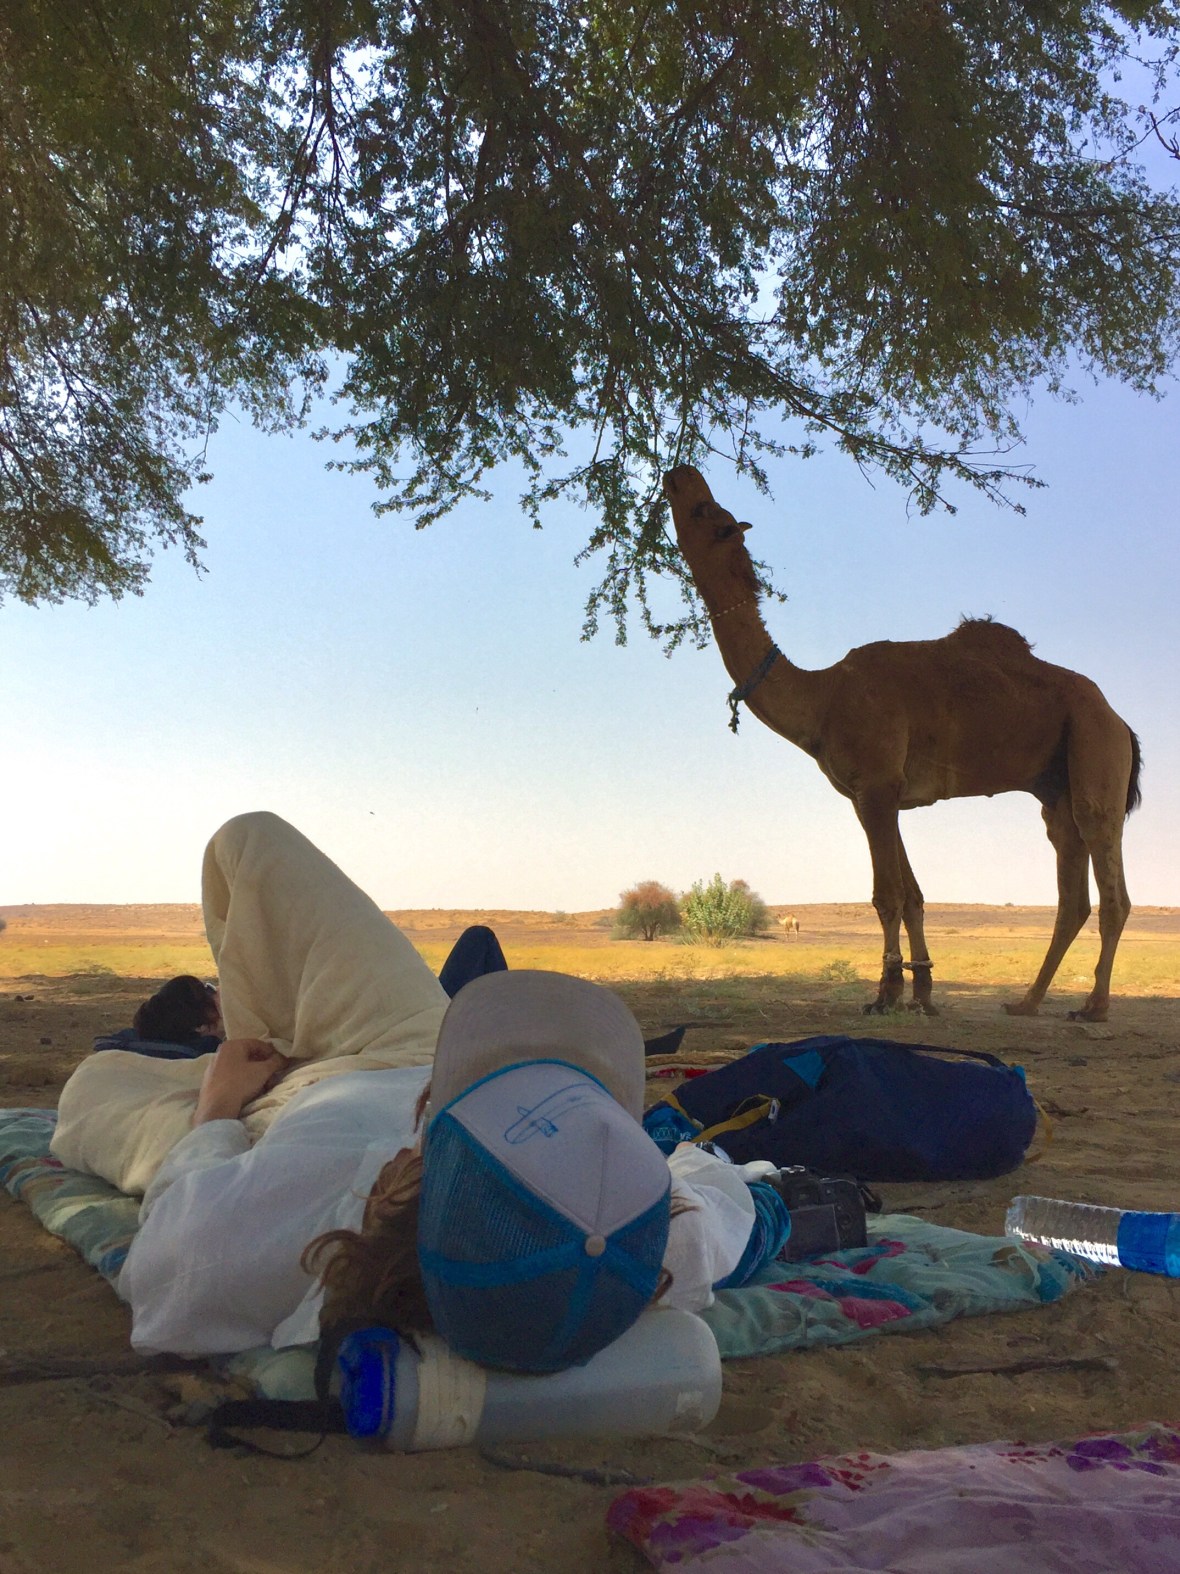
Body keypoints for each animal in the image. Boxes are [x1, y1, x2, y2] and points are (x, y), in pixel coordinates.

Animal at [663, 465, 1141, 1021]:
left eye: (705, 511)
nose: (680, 473)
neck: (823, 698)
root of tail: (1120, 720)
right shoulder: (879, 794)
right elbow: (912, 894)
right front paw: (924, 991)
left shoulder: (875, 786)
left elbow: (887, 894)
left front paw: (886, 992)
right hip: (1056, 786)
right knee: (1071, 884)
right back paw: (1026, 1001)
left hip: (1095, 746)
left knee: (1107, 872)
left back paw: (1094, 1006)